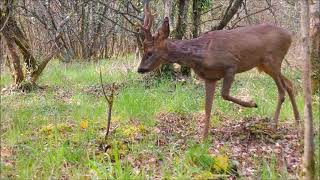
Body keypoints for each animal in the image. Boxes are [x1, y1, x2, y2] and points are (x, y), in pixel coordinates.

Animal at [137, 3, 300, 139]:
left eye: (149, 52)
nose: (140, 69)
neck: (201, 54)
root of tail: (290, 36)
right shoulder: (210, 78)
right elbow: (207, 108)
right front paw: (203, 140)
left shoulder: (231, 65)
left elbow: (224, 94)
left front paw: (252, 103)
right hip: (266, 65)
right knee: (290, 84)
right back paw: (297, 120)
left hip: (273, 60)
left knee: (282, 90)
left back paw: (274, 125)